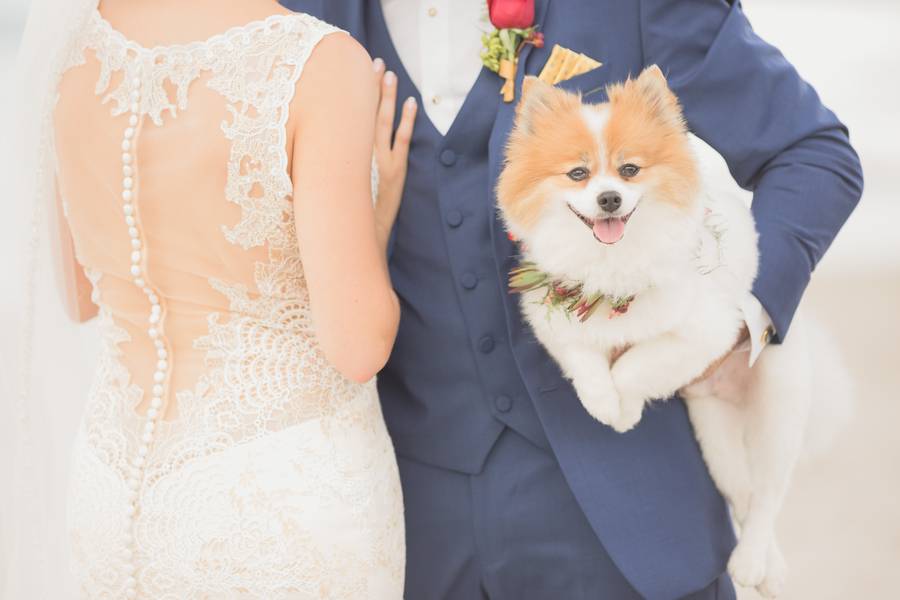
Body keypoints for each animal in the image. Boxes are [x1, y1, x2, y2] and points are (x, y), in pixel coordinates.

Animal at [492, 65, 852, 596]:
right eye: (578, 174)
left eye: (629, 170)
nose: (608, 198)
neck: (613, 266)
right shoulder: (553, 317)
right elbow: (585, 362)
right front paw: (602, 402)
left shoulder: (705, 334)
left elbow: (637, 364)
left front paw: (624, 409)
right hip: (713, 434)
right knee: (743, 494)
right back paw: (768, 566)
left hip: (778, 403)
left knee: (769, 491)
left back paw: (752, 562)